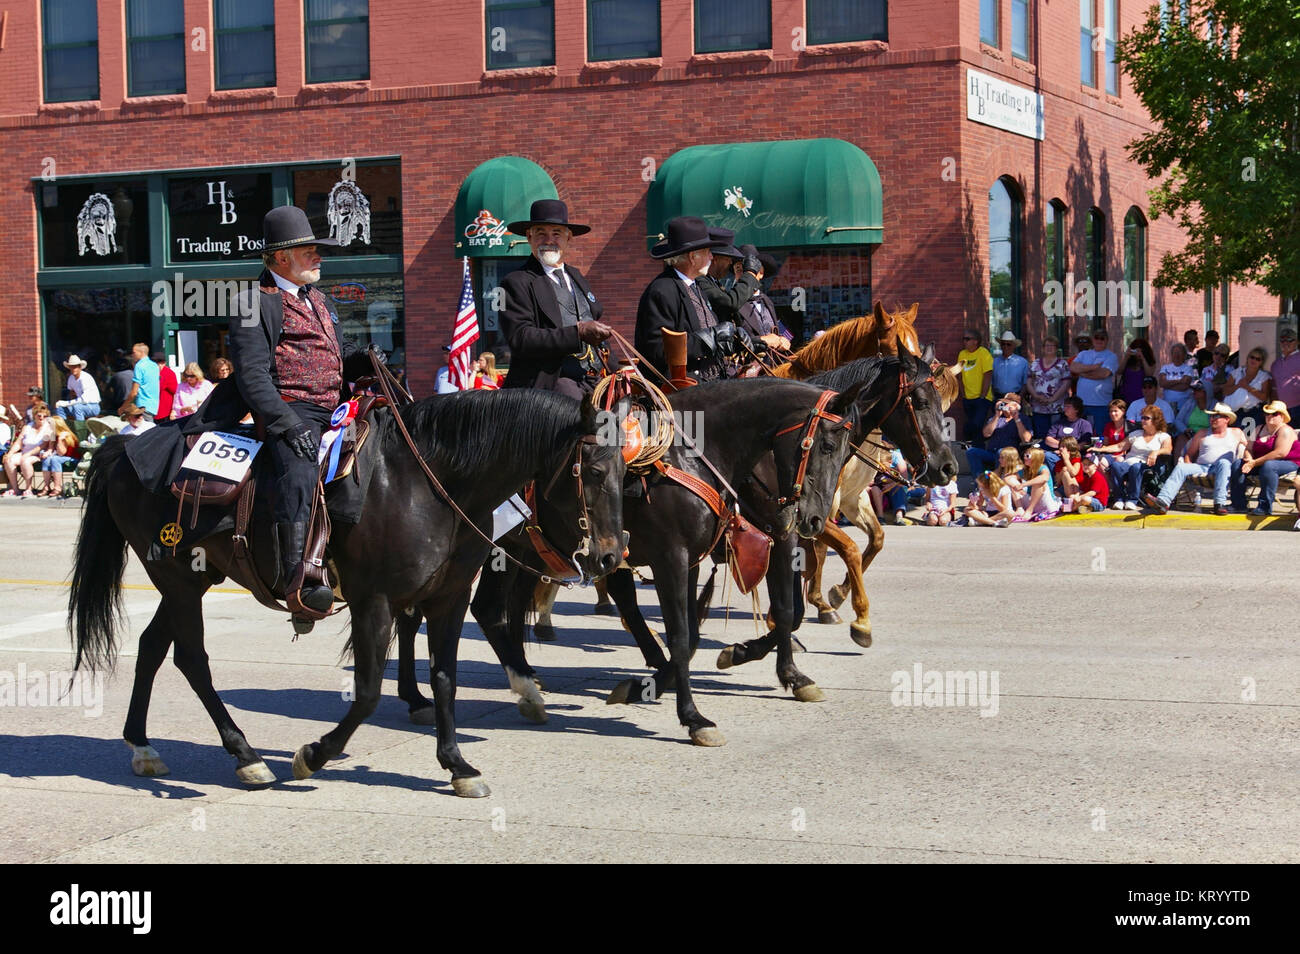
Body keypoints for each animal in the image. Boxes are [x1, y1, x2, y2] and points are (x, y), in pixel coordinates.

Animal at [71, 389, 629, 800]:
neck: (431, 483)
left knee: (152, 647)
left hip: (192, 580)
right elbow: (366, 693)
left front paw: (457, 765)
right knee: (192, 659)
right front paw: (313, 755)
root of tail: (123, 449)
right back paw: (247, 757)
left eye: (627, 473)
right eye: (593, 471)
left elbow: (445, 680)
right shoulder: (374, 602)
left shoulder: (446, 600)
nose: (609, 557)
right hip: (179, 580)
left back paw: (143, 746)